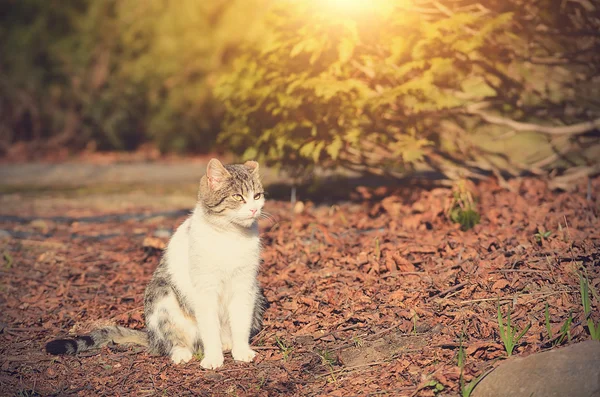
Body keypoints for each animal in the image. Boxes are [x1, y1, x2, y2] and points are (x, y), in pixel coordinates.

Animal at [47, 158, 270, 368]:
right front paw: (213, 358)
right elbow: (209, 328)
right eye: (238, 197)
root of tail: (151, 337)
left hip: (257, 294)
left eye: (257, 196)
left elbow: (240, 322)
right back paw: (182, 353)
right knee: (173, 342)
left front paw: (241, 351)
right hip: (162, 296)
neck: (231, 237)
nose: (253, 209)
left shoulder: (245, 285)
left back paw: (227, 344)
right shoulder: (205, 289)